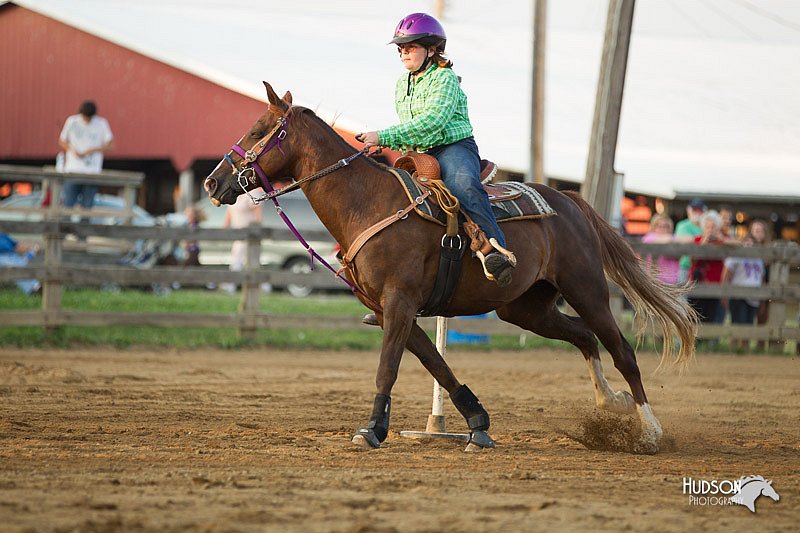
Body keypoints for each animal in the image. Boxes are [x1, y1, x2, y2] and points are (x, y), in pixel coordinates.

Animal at [203, 82, 696, 454]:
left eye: (258, 129)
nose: (212, 182)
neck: (367, 202)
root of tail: (569, 199)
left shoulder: (400, 302)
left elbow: (390, 366)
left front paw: (371, 430)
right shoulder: (389, 309)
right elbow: (436, 363)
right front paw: (477, 424)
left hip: (587, 288)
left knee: (622, 350)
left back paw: (649, 430)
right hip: (525, 308)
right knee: (584, 338)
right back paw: (609, 405)